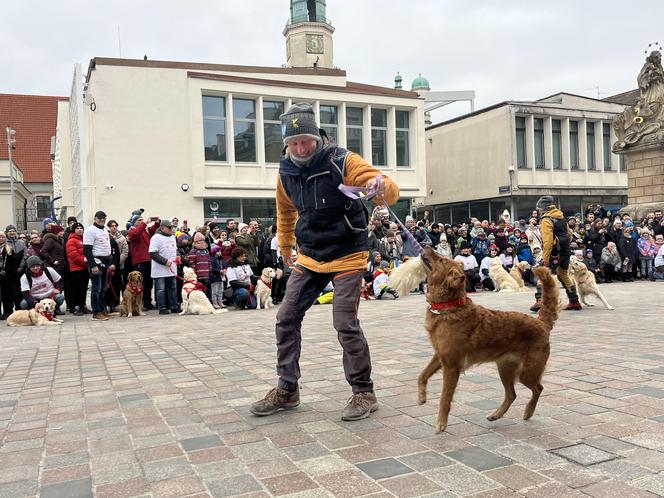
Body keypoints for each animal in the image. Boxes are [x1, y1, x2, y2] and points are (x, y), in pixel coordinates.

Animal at [392, 248, 556, 432]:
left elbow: (444, 398)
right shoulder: (439, 356)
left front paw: (441, 423)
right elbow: (422, 376)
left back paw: (528, 411)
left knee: (538, 388)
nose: (427, 246)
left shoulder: (451, 366)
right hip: (505, 369)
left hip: (527, 372)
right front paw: (422, 396)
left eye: (441, 260)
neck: (448, 307)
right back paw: (496, 415)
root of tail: (542, 322)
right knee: (512, 394)